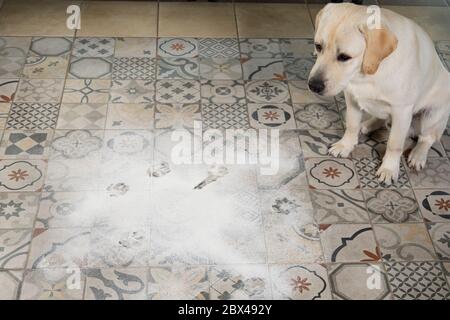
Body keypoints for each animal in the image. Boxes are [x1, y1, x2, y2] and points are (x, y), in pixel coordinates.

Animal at [310, 2, 450, 184]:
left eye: (344, 57)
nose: (313, 86)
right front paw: (345, 145)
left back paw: (417, 155)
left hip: (432, 116)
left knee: (427, 139)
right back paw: (367, 125)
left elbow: (394, 144)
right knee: (381, 120)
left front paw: (389, 169)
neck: (370, 72)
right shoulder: (352, 97)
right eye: (318, 46)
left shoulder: (402, 111)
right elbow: (351, 125)